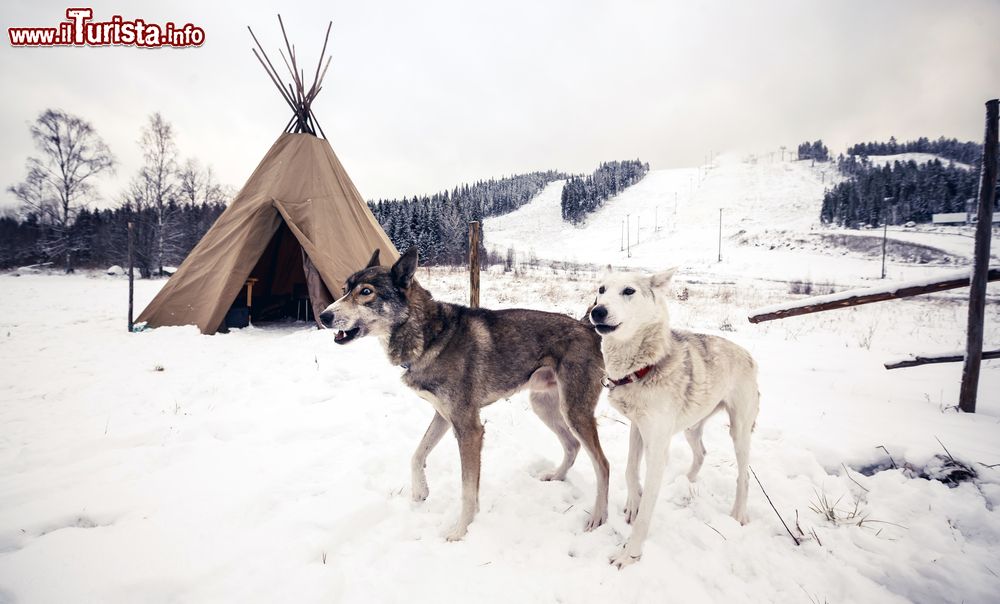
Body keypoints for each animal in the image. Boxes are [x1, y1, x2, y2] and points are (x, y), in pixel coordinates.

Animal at [324, 248, 612, 540]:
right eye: (344, 290)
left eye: (366, 292)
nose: (324, 316)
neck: (430, 335)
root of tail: (586, 326)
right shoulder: (443, 416)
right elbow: (417, 455)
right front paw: (420, 491)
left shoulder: (469, 429)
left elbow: (467, 490)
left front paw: (461, 531)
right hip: (543, 404)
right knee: (572, 445)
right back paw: (555, 477)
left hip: (575, 411)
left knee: (603, 464)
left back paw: (597, 517)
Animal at [584, 266, 756, 568]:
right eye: (601, 289)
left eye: (628, 291)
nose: (597, 311)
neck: (643, 368)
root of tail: (748, 354)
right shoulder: (638, 427)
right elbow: (630, 469)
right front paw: (633, 503)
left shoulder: (657, 447)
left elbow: (645, 514)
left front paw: (629, 555)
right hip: (691, 427)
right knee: (701, 452)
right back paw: (685, 481)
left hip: (739, 431)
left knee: (743, 475)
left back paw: (737, 514)